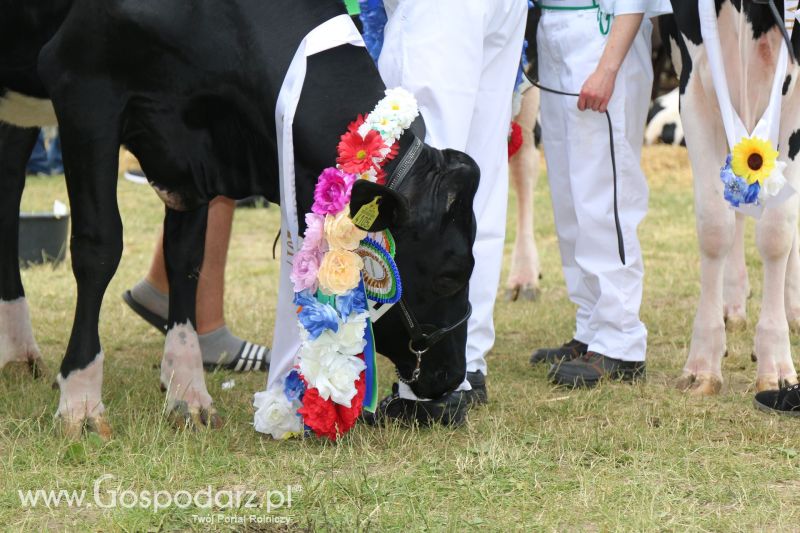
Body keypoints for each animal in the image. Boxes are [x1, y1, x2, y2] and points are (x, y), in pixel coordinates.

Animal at [0, 0, 478, 436]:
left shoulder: (192, 156)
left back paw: (17, 351)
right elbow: (99, 246)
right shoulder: (83, 85)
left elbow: (186, 259)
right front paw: (80, 399)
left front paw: (188, 391)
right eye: (451, 276)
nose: (453, 376)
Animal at [664, 1, 800, 394]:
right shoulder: (694, 84)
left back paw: (793, 308)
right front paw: (703, 363)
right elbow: (715, 225)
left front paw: (776, 363)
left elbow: (777, 232)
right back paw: (734, 302)